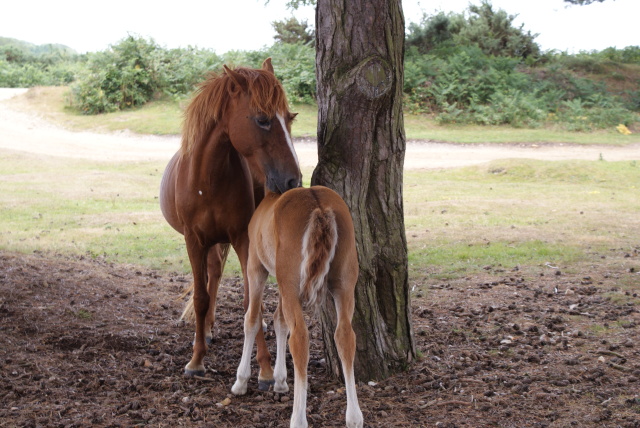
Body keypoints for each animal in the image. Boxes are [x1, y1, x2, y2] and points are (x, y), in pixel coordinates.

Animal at [159, 58, 302, 382]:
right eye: (262, 120)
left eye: (290, 118)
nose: (294, 181)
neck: (207, 179)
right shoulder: (194, 241)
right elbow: (200, 297)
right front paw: (196, 359)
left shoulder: (242, 239)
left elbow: (252, 301)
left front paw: (264, 369)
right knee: (213, 276)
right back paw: (208, 330)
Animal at [231, 186, 362, 428]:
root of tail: (319, 206)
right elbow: (280, 320)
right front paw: (280, 380)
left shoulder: (255, 267)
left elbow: (252, 319)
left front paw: (241, 381)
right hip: (344, 283)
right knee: (345, 335)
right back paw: (354, 417)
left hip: (289, 284)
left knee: (300, 338)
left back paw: (298, 418)